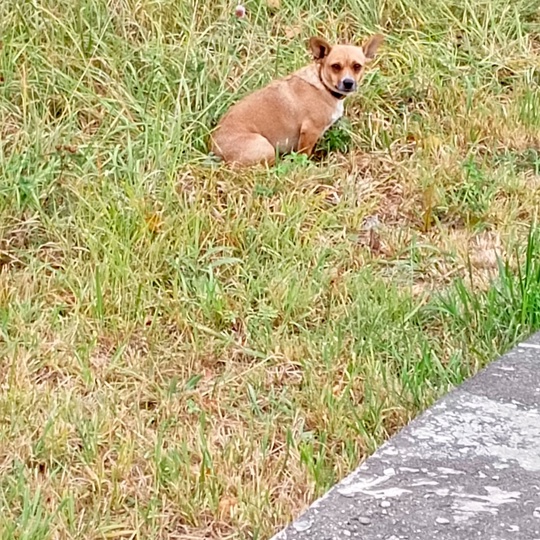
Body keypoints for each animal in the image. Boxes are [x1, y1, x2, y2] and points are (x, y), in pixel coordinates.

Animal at [210, 33, 384, 167]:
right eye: (335, 66)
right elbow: (304, 154)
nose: (348, 83)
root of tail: (214, 150)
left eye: (357, 66)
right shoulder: (310, 131)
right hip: (265, 147)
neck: (323, 85)